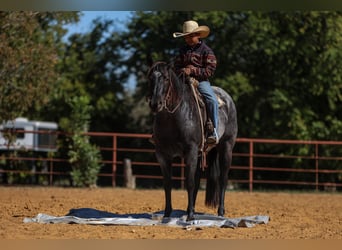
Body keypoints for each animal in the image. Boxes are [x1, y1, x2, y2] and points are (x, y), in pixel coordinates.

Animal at [147, 61, 238, 221]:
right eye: (151, 78)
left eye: (165, 78)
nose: (155, 104)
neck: (173, 117)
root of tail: (228, 99)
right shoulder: (163, 155)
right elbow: (168, 184)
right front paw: (167, 214)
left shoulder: (191, 151)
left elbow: (189, 183)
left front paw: (189, 216)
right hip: (201, 153)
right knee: (197, 181)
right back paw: (193, 209)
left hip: (226, 148)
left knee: (223, 179)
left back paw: (220, 212)